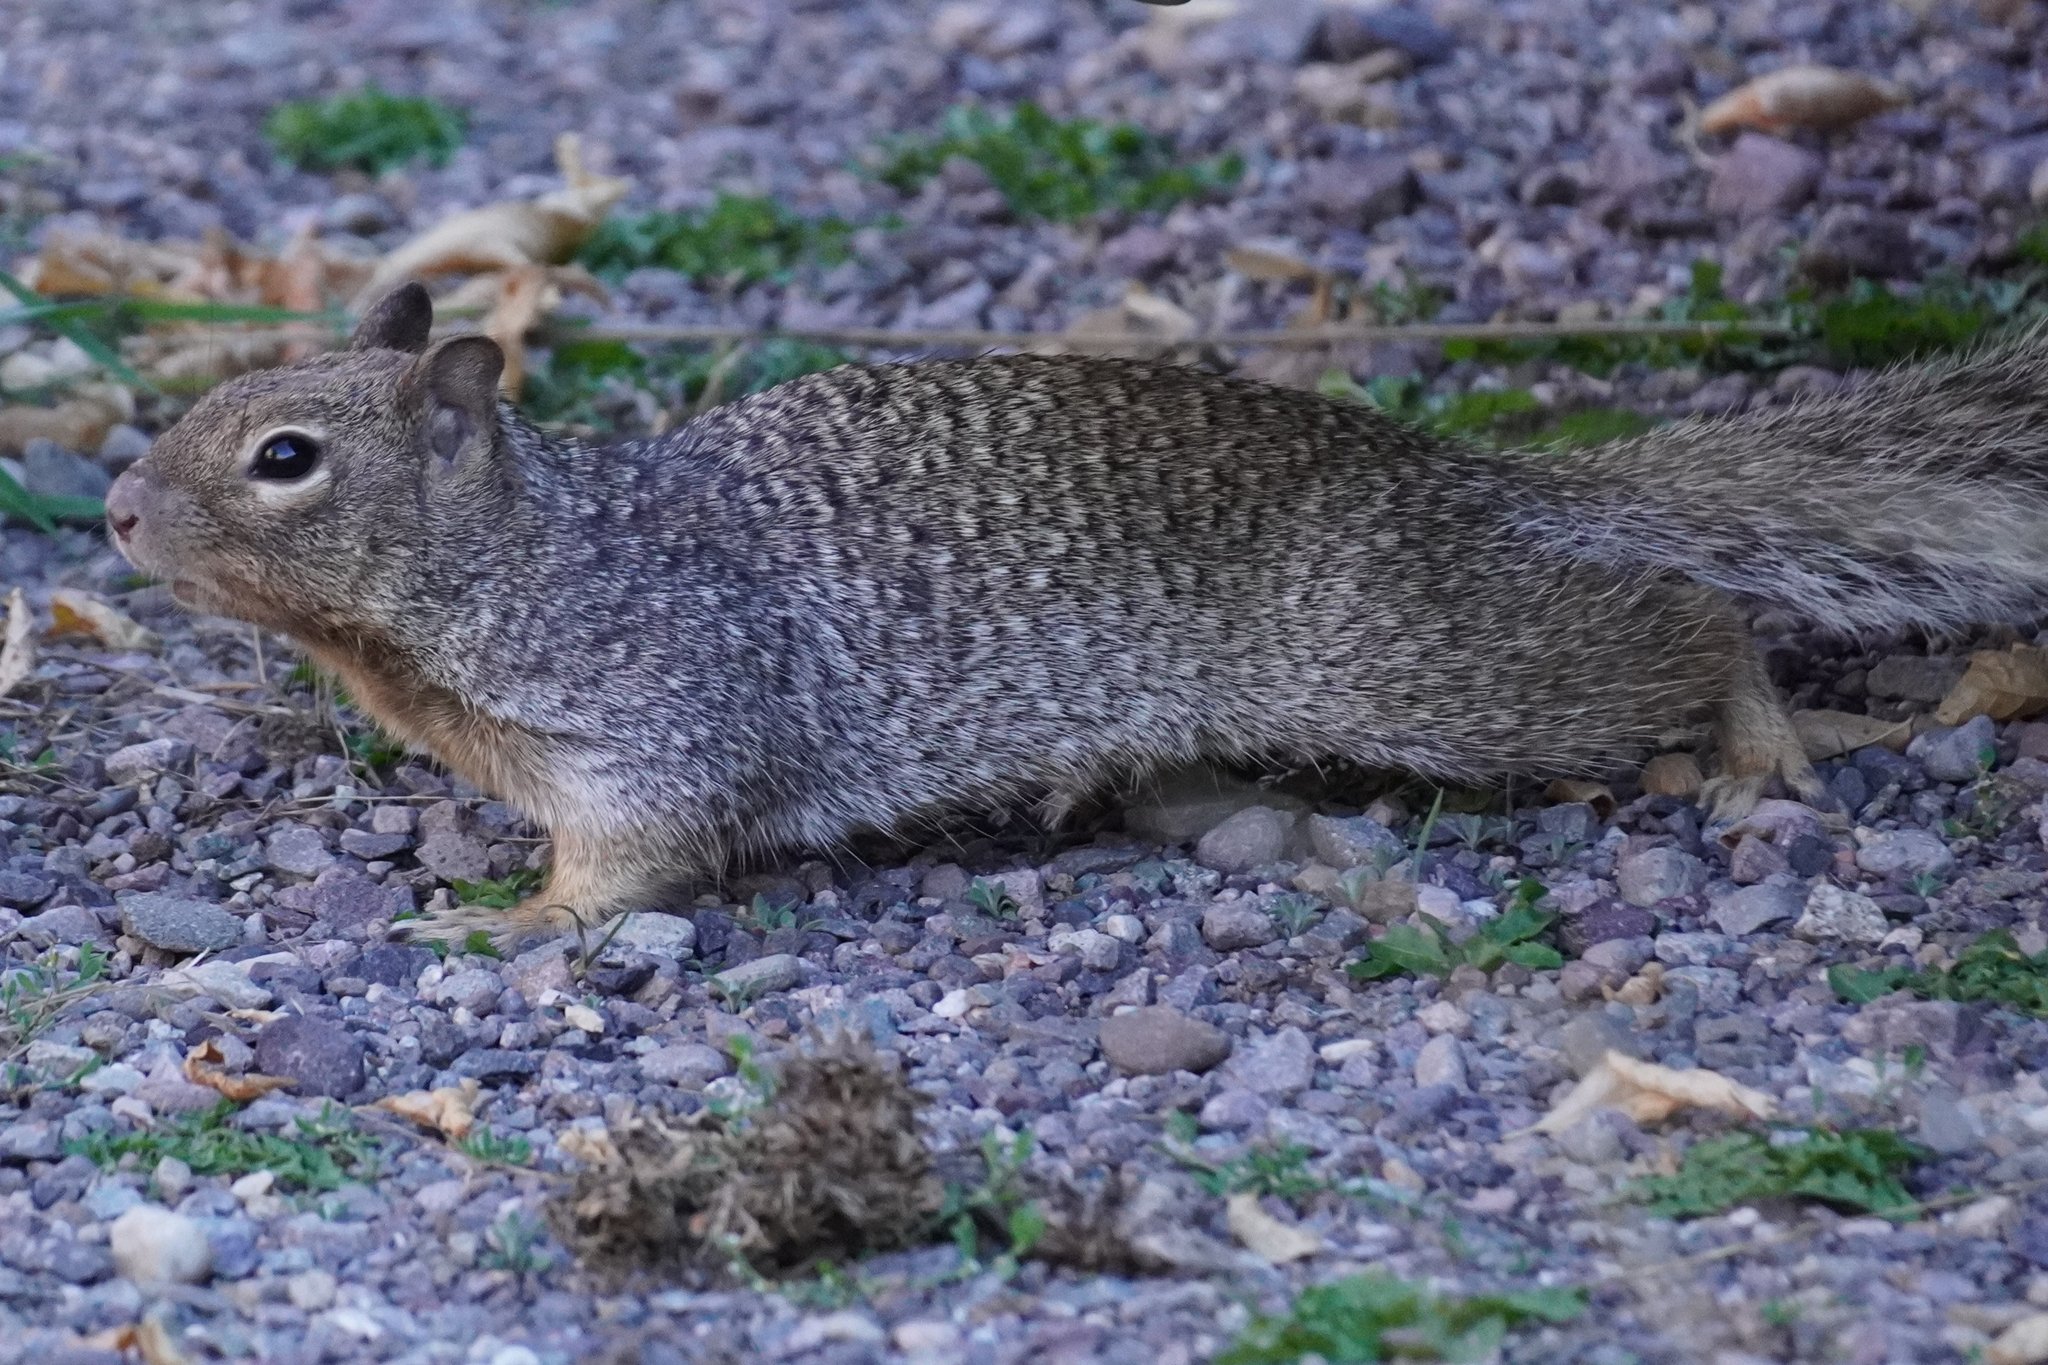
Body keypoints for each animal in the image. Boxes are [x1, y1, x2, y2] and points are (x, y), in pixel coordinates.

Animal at [102, 283, 2048, 948]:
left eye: (283, 457)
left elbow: (635, 860)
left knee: (1687, 616)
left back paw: (1759, 735)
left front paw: (513, 920)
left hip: (1425, 661)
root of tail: (1446, 473)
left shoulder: (664, 709)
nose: (114, 511)